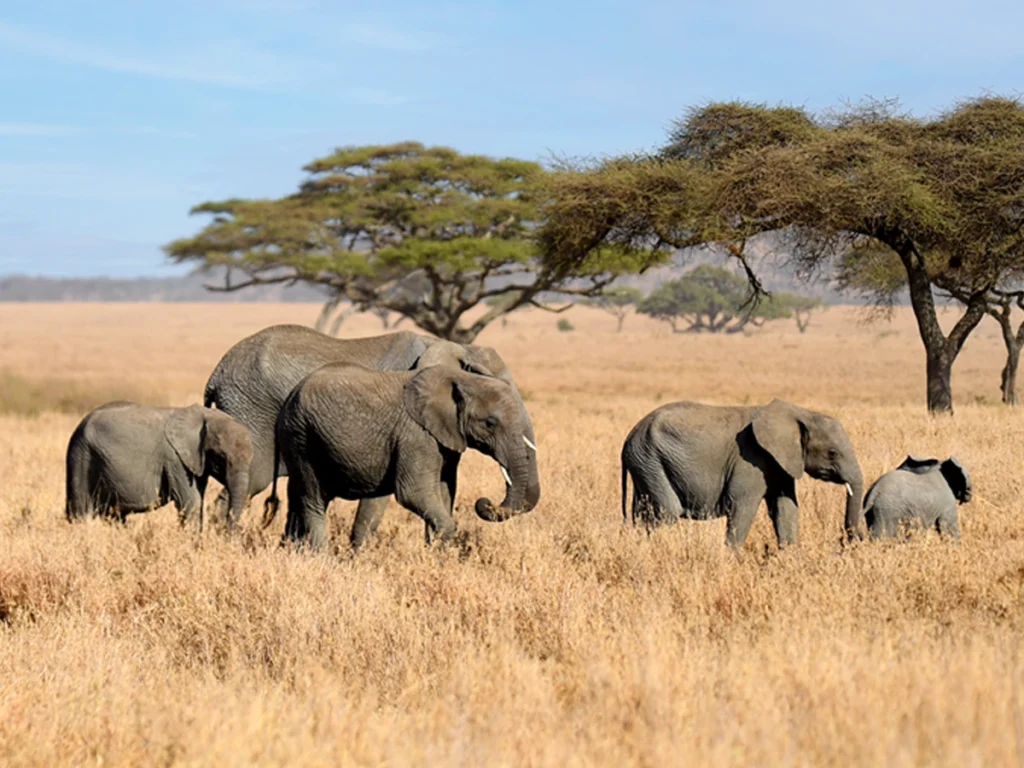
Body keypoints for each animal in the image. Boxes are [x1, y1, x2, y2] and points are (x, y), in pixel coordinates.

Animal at [65, 402, 253, 528]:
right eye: (221, 459)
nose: (229, 539)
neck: (206, 416)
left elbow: (198, 500)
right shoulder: (175, 459)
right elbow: (190, 502)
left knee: (114, 514)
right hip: (82, 457)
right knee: (81, 511)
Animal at [262, 363, 540, 550]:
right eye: (490, 423)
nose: (485, 502)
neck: (462, 378)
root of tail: (290, 396)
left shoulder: (444, 439)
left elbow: (444, 491)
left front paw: (437, 557)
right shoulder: (415, 436)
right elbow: (413, 492)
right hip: (300, 436)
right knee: (314, 499)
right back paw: (323, 559)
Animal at [620, 399, 864, 547]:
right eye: (832, 453)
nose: (850, 539)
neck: (801, 413)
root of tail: (629, 438)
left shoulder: (780, 462)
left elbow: (785, 508)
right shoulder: (749, 460)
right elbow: (742, 506)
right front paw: (732, 562)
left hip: (645, 464)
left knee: (642, 514)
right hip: (650, 460)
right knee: (666, 514)